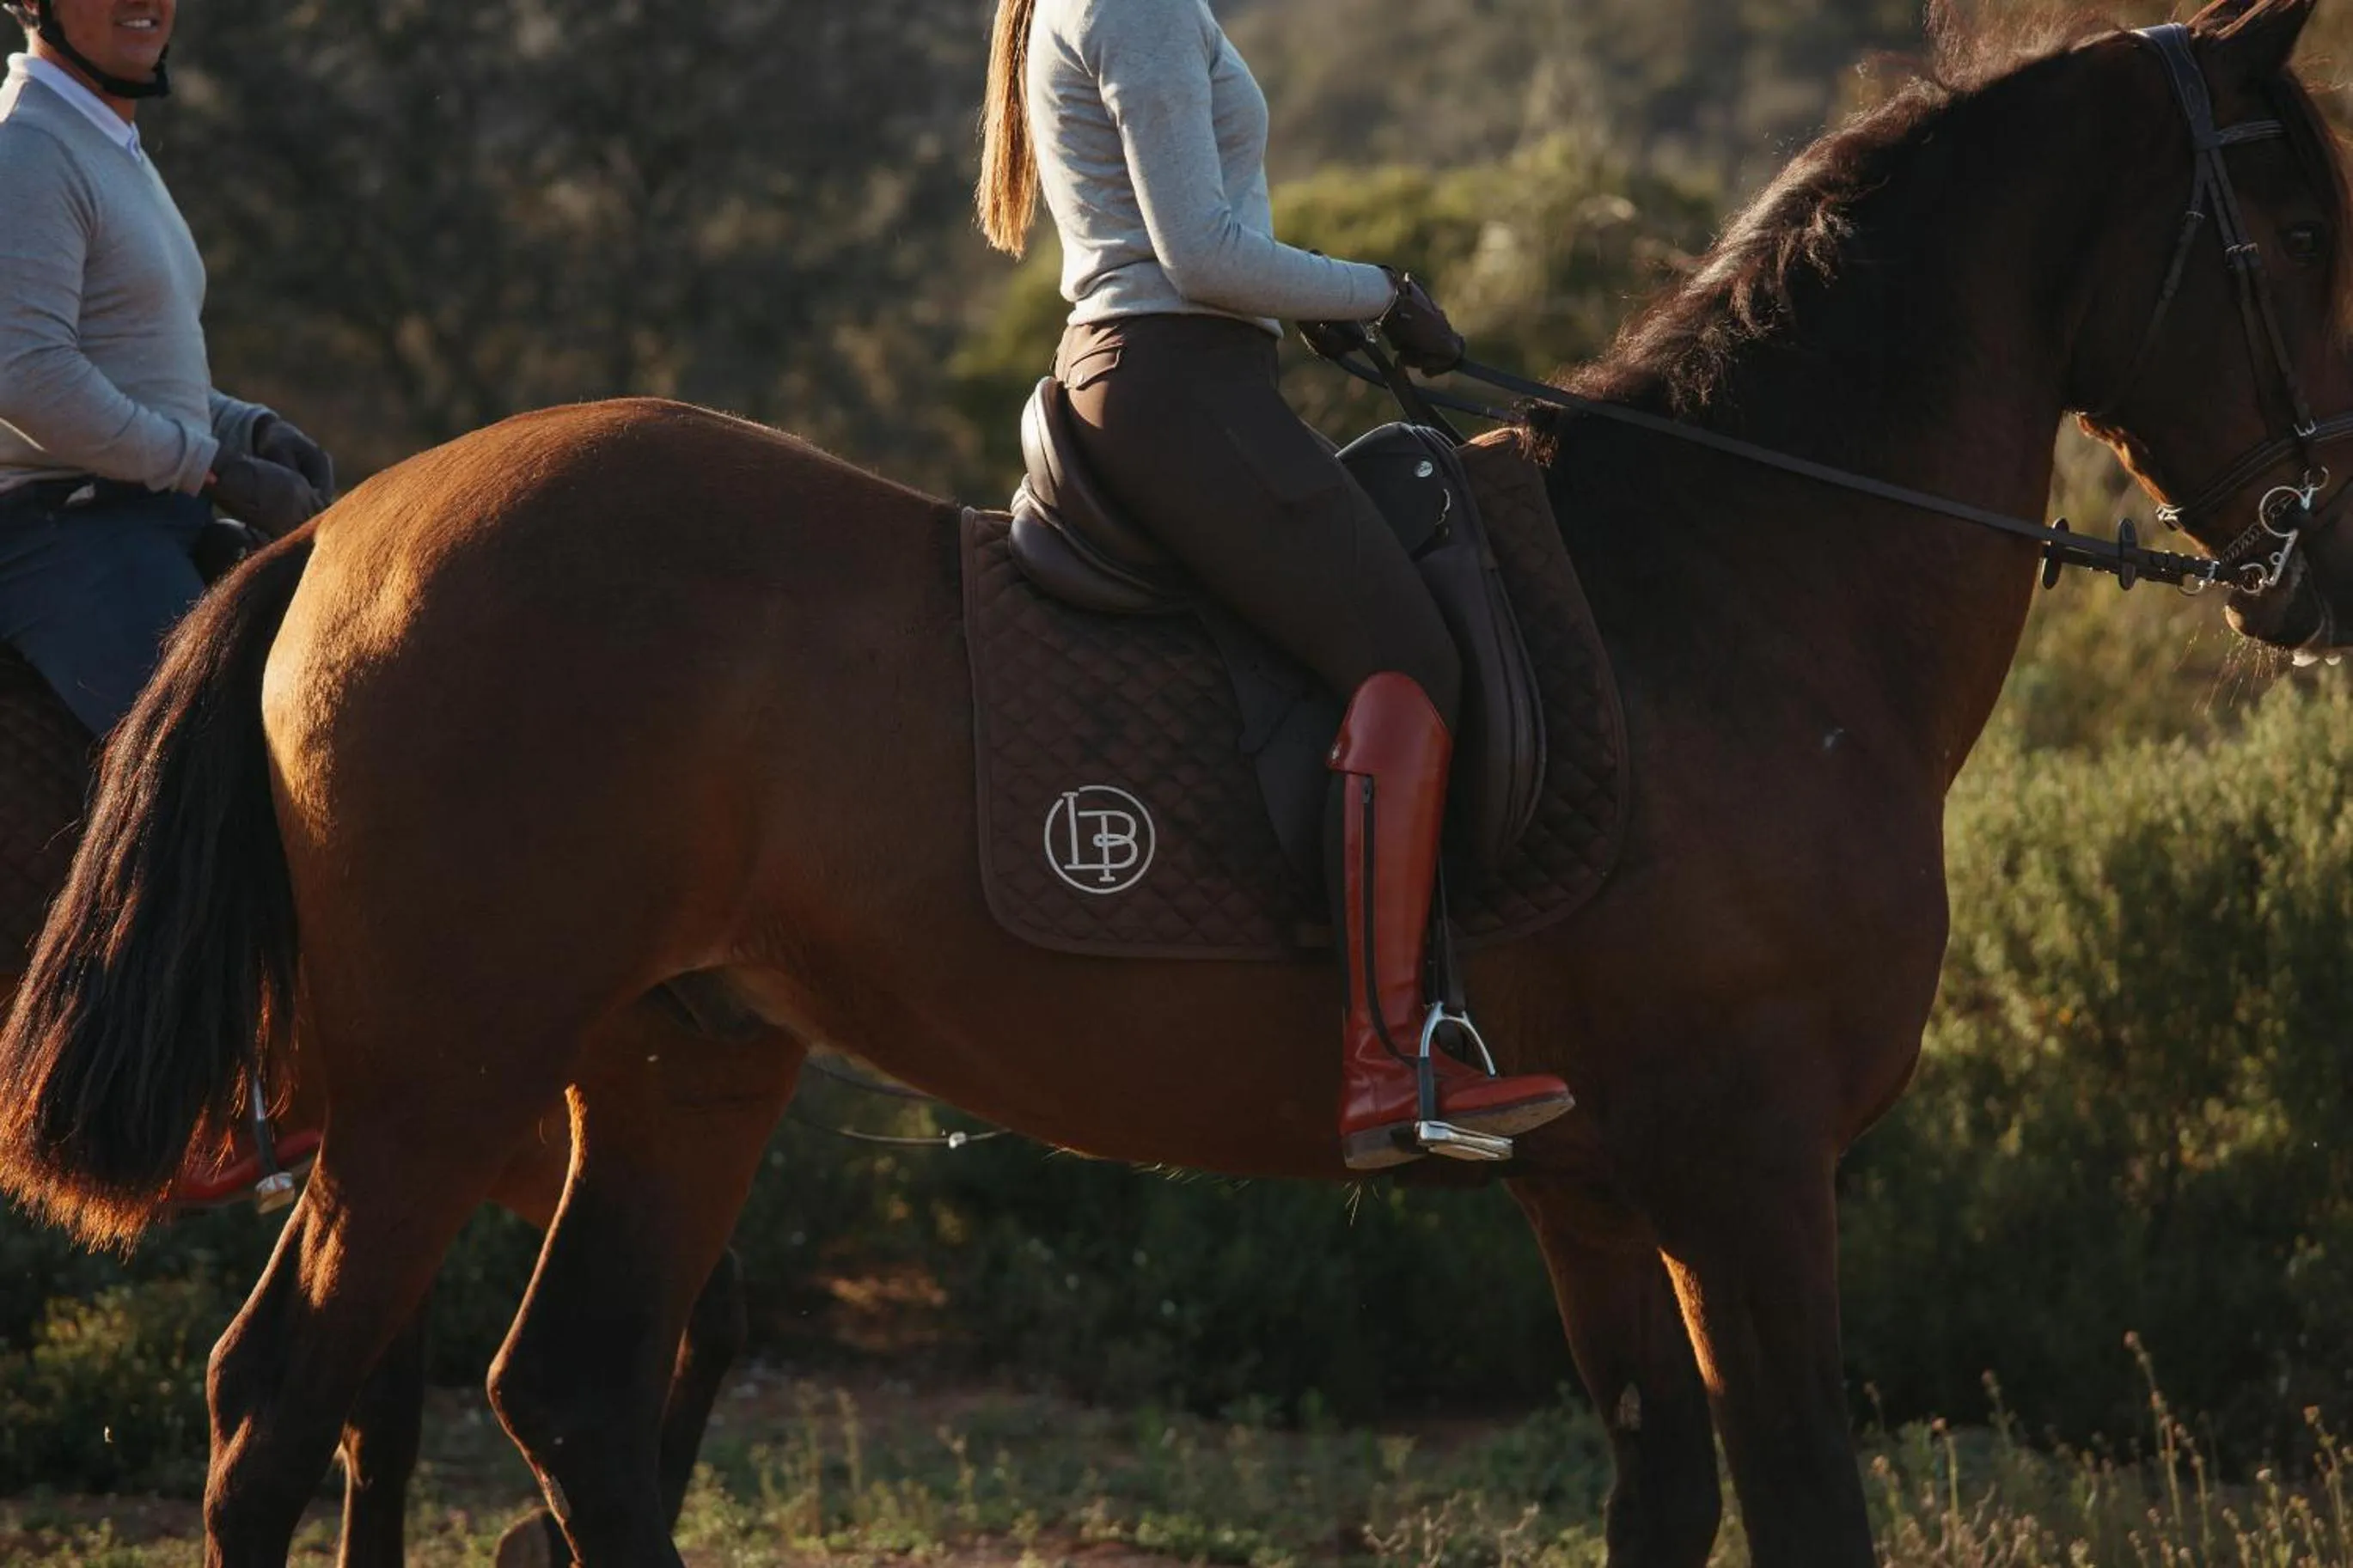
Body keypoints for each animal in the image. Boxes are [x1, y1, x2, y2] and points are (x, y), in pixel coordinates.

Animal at [5, 0, 2352, 1561]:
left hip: (675, 1062)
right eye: (2301, 226)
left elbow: (1662, 1493)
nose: (2319, 568)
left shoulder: (1595, 1183)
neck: (1738, 592)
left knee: (568, 1390)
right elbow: (1800, 1506)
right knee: (280, 1403)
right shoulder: (1748, 1169)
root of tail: (346, 529)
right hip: (434, 1083)